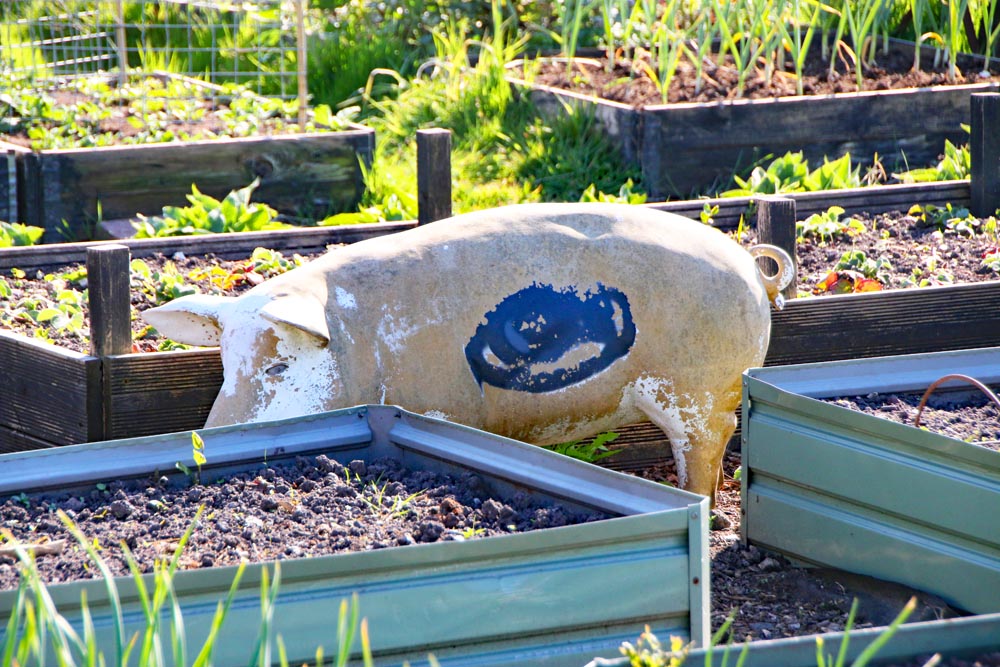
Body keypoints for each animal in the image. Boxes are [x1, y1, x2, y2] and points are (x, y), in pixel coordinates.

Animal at [143, 203, 793, 500]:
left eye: (279, 364)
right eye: (226, 366)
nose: (209, 439)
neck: (360, 345)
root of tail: (750, 267)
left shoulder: (443, 407)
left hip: (705, 392)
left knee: (705, 456)